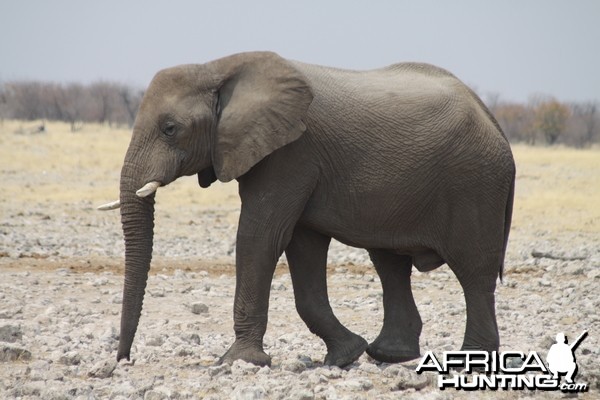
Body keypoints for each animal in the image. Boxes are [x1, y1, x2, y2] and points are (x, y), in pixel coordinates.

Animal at [98, 50, 516, 368]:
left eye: (170, 129)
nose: (123, 360)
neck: (218, 67)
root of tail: (494, 121)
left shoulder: (290, 152)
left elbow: (260, 236)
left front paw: (237, 362)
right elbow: (302, 246)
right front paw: (345, 356)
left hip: (476, 183)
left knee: (473, 271)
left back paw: (469, 361)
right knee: (390, 264)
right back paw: (388, 356)